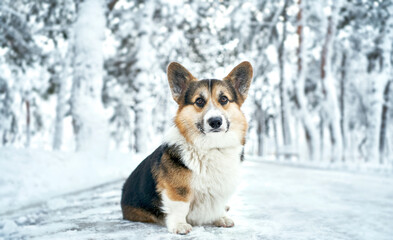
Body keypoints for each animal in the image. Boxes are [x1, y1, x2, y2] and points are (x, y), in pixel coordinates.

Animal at [121, 60, 253, 234]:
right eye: (199, 101)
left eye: (224, 99)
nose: (215, 121)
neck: (211, 147)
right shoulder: (177, 189)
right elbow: (180, 207)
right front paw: (179, 225)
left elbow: (218, 204)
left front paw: (220, 217)